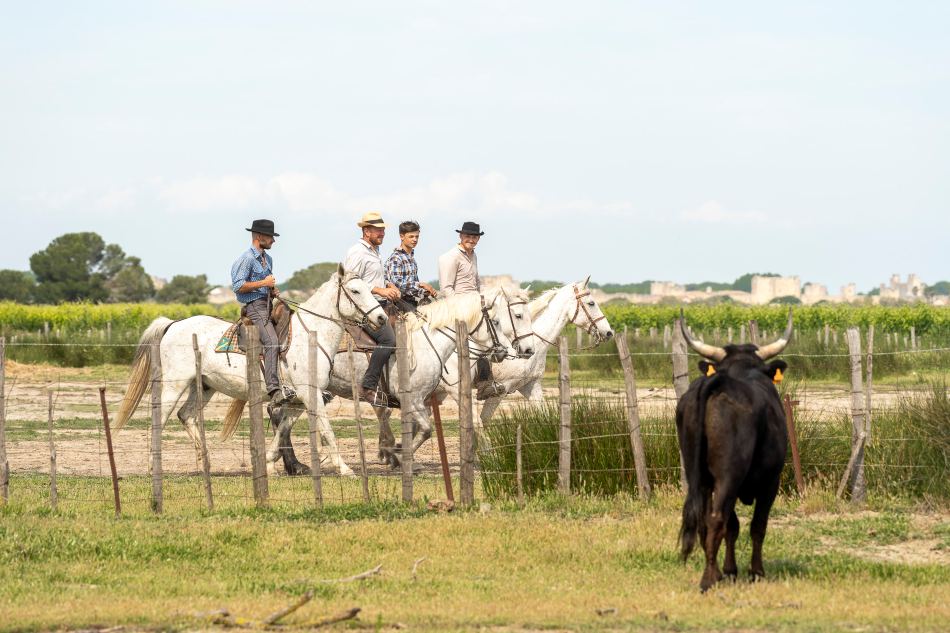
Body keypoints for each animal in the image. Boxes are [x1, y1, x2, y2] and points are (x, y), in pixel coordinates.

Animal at [113, 265, 386, 476]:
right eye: (355, 290)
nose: (382, 318)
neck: (310, 336)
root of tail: (173, 324)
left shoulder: (300, 398)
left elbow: (284, 427)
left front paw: (270, 463)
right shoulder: (310, 394)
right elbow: (326, 430)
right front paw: (344, 469)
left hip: (204, 386)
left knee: (185, 415)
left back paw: (206, 462)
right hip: (174, 383)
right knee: (160, 418)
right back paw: (154, 466)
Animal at [676, 310, 792, 591]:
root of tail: (719, 381)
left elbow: (734, 526)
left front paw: (730, 570)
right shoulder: (771, 482)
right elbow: (757, 525)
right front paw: (756, 572)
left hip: (699, 476)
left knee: (706, 520)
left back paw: (715, 573)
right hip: (729, 475)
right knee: (718, 518)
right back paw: (707, 580)